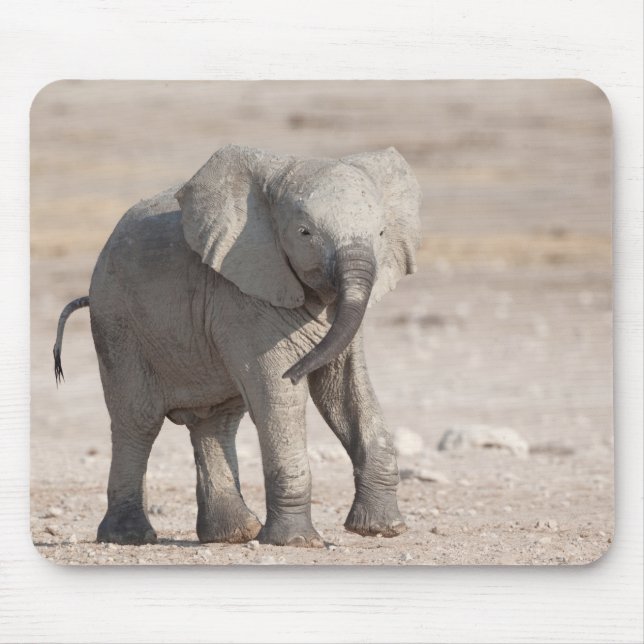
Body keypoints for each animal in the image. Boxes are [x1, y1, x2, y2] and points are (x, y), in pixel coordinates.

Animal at [53, 144, 422, 547]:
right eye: (304, 232)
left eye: (382, 232)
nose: (298, 369)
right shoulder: (241, 296)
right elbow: (277, 394)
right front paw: (295, 542)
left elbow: (343, 391)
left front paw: (382, 529)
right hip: (117, 323)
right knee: (138, 421)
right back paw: (130, 537)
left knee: (215, 421)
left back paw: (231, 535)